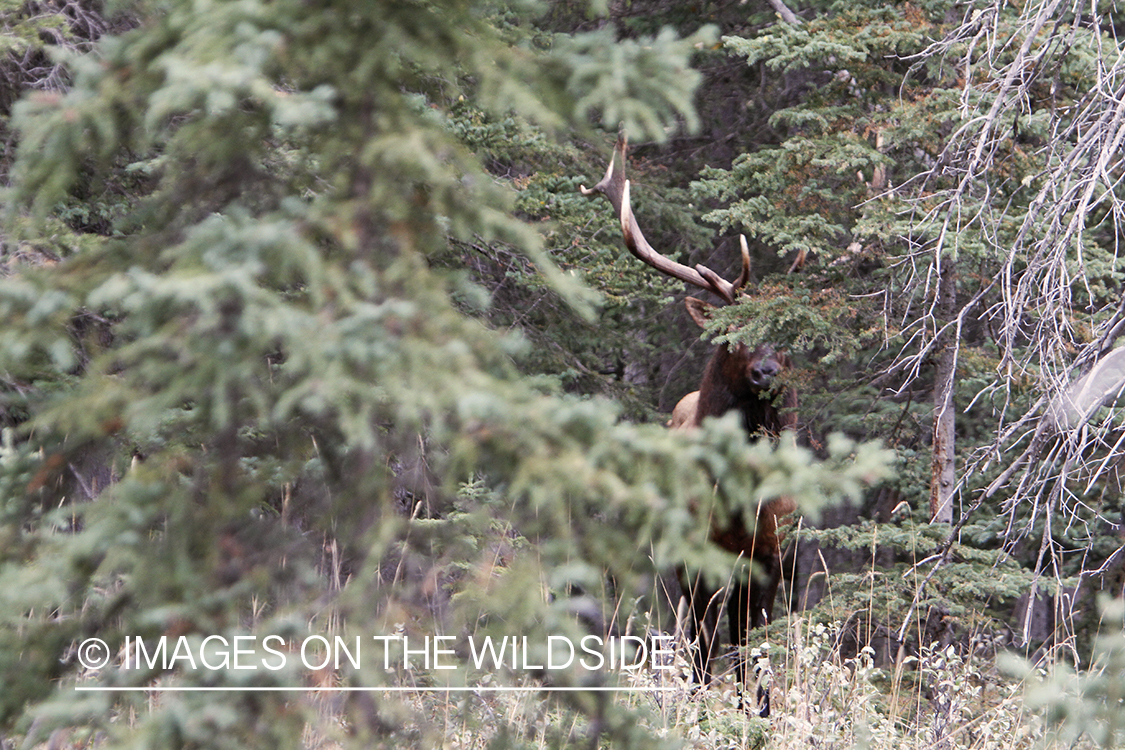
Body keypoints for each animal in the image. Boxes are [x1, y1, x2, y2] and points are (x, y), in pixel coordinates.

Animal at [585, 134, 796, 715]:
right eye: (730, 332)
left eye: (783, 336)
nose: (767, 372)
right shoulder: (698, 559)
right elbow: (704, 653)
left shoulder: (770, 558)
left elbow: (756, 658)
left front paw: (757, 714)